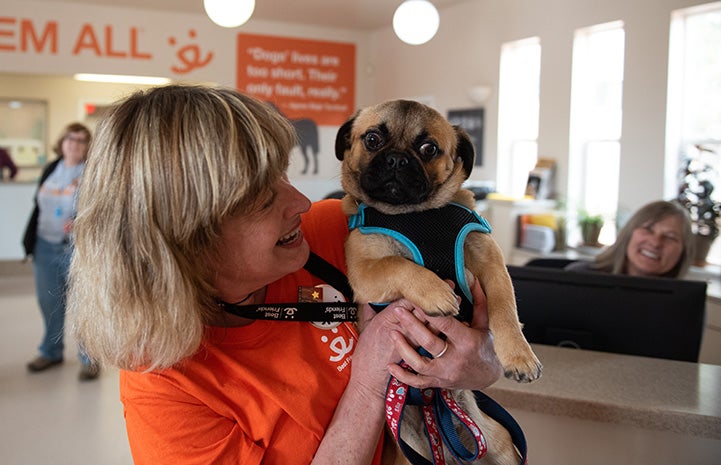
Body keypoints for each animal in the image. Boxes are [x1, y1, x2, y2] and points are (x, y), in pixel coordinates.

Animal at [334, 99, 540, 462]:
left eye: (428, 148)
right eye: (372, 139)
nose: (396, 159)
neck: (414, 215)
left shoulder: (491, 263)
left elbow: (505, 308)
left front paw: (519, 355)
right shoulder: (365, 271)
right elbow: (396, 263)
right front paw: (437, 293)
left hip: (501, 446)